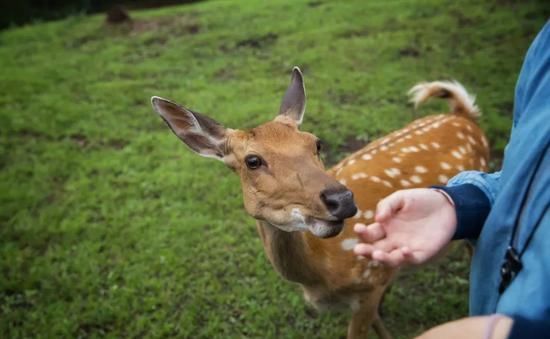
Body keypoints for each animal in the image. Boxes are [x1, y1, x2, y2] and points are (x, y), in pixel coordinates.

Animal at [150, 67, 492, 338]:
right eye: (252, 161)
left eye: (316, 143)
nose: (342, 200)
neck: (322, 275)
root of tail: (465, 116)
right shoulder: (373, 285)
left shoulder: (369, 286)